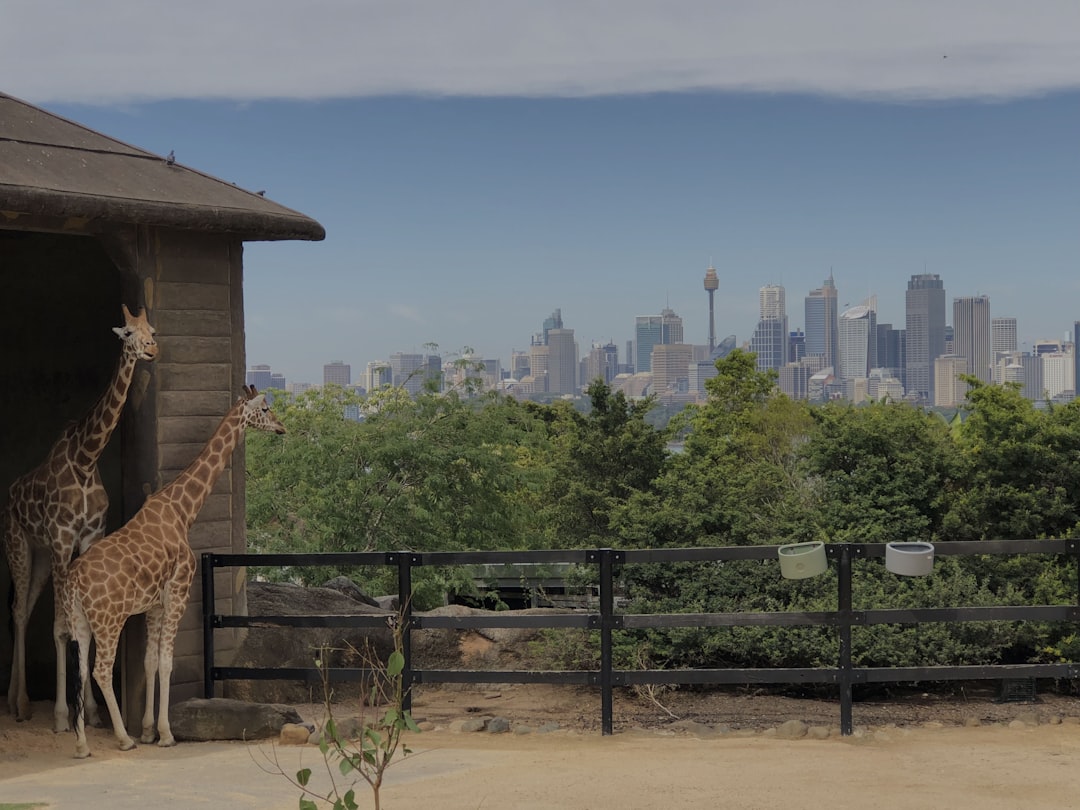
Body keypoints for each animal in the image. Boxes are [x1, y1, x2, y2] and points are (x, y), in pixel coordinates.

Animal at [4, 302, 157, 734]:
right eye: (128, 333)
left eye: (153, 330)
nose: (152, 350)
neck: (86, 460)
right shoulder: (60, 539)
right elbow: (61, 628)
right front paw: (61, 716)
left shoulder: (88, 538)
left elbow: (77, 622)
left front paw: (90, 711)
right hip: (19, 546)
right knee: (18, 611)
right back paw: (21, 703)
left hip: (40, 557)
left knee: (23, 610)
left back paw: (17, 702)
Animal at [65, 384, 287, 760]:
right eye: (266, 409)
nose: (282, 428)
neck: (183, 511)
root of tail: (75, 581)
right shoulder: (178, 595)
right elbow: (167, 662)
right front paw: (165, 734)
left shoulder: (153, 605)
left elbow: (149, 662)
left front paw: (148, 730)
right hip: (109, 620)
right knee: (101, 671)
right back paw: (122, 739)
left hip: (79, 619)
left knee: (80, 671)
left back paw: (81, 745)